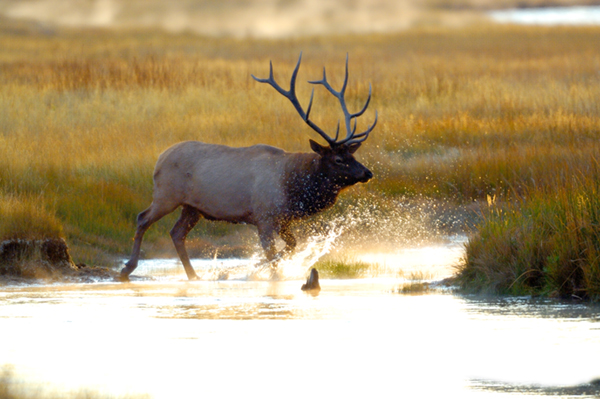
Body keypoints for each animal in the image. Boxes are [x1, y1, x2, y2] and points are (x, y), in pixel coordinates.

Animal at [119, 54, 378, 282]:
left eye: (352, 155)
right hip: (167, 195)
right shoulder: (264, 217)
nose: (367, 173)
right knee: (143, 218)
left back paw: (194, 275)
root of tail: (159, 158)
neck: (293, 187)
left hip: (192, 207)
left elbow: (291, 246)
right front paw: (255, 273)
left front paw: (245, 269)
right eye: (338, 159)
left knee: (176, 233)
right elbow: (272, 254)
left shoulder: (283, 219)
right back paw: (127, 268)